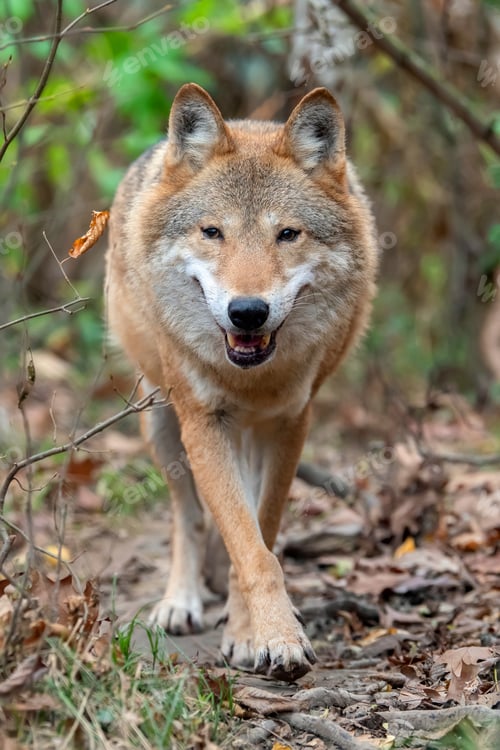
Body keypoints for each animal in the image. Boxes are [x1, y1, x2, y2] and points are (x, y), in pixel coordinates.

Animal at [105, 83, 378, 681]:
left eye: (287, 235)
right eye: (213, 232)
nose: (247, 312)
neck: (253, 379)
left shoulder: (291, 424)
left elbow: (261, 535)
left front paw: (252, 636)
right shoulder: (204, 425)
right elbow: (247, 546)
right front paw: (276, 637)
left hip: (249, 435)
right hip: (161, 423)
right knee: (187, 517)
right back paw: (180, 602)